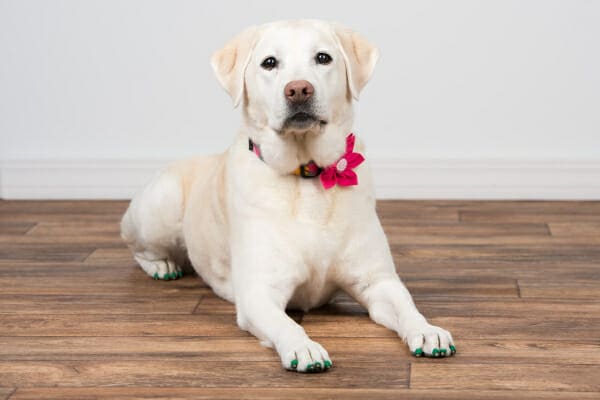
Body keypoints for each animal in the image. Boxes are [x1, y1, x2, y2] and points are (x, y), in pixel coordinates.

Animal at [124, 19, 458, 372]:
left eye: (323, 57)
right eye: (269, 62)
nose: (299, 89)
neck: (308, 176)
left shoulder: (378, 281)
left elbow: (407, 306)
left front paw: (427, 330)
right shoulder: (259, 294)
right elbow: (287, 324)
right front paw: (304, 348)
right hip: (161, 205)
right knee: (138, 247)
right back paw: (162, 265)